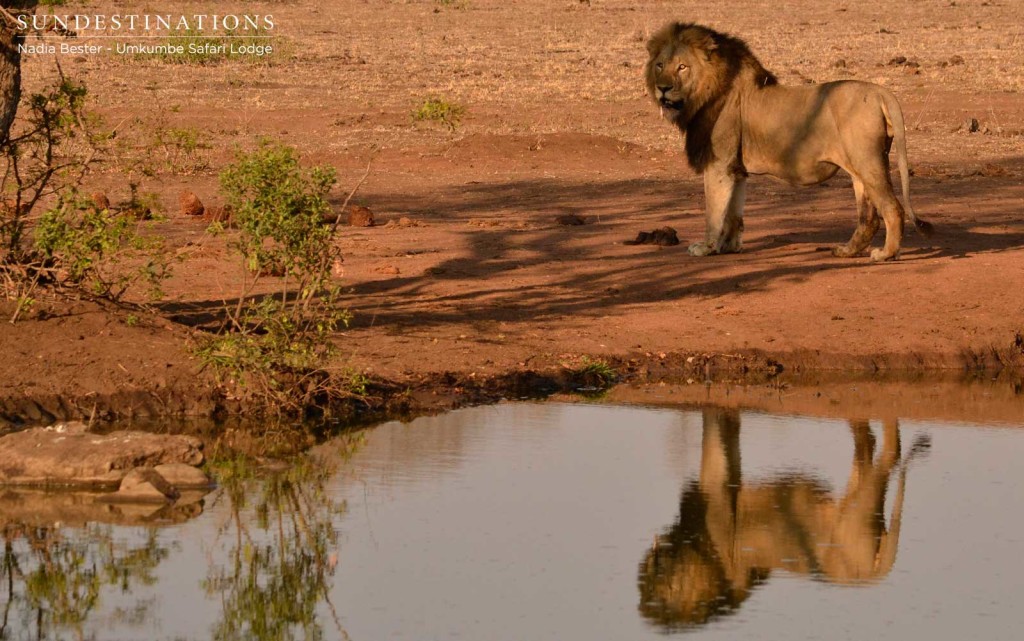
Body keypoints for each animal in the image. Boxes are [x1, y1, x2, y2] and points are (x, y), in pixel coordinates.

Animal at [647, 24, 937, 260]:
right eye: (659, 65)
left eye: (682, 67)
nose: (662, 88)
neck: (703, 94)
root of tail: (880, 92)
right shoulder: (736, 170)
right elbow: (733, 212)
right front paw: (729, 247)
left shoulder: (719, 164)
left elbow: (714, 211)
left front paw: (706, 247)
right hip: (860, 167)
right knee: (869, 218)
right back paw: (846, 251)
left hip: (868, 161)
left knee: (892, 208)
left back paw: (885, 254)